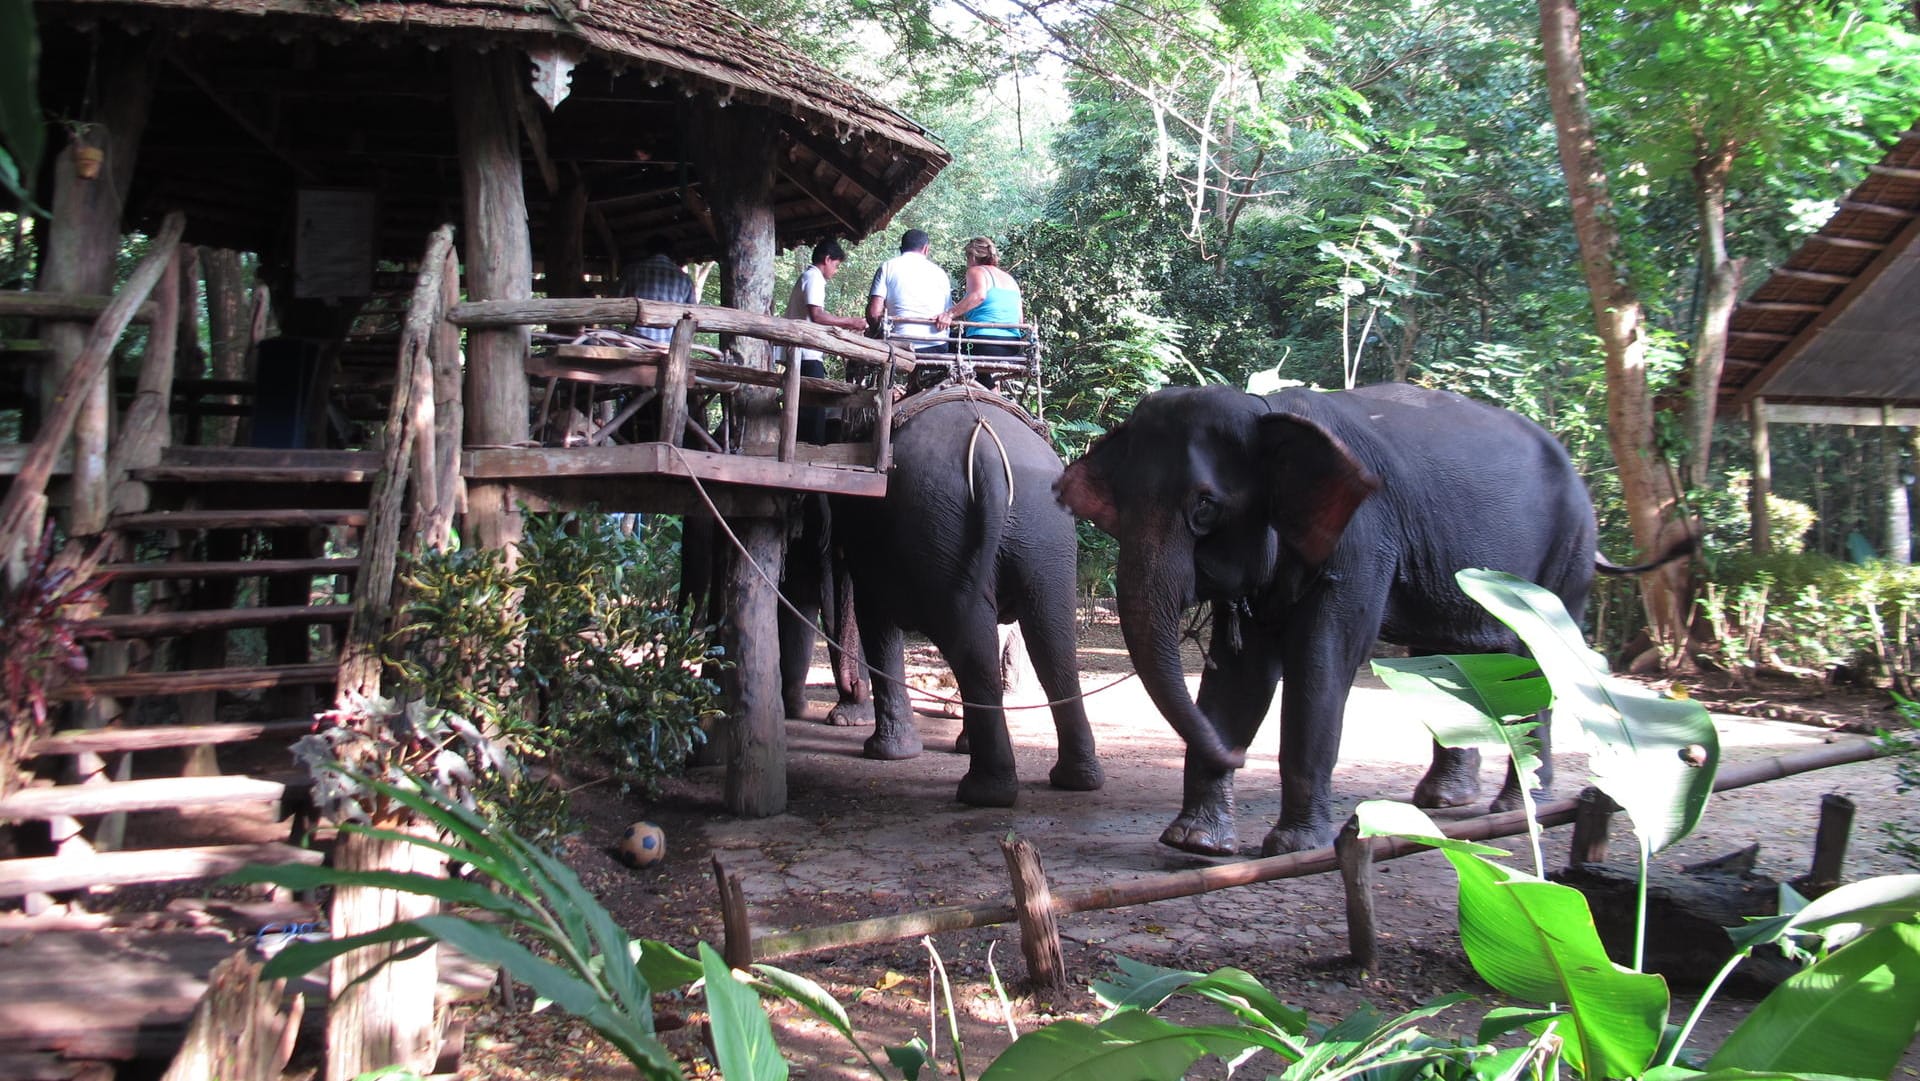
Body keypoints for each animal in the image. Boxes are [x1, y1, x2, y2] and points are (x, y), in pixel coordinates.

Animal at [783, 384, 1113, 806]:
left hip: (938, 528)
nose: (846, 705)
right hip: (1044, 532)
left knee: (970, 641)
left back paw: (984, 792)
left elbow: (874, 617)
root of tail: (988, 451)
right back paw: (1076, 779)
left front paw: (887, 752)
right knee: (1051, 639)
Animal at [1059, 384, 1689, 860]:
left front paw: (1292, 847)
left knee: (1535, 662)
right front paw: (1195, 843)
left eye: (1205, 507)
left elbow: (1323, 660)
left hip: (1565, 559)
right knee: (1454, 660)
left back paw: (1517, 806)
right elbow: (1241, 673)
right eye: (1118, 508)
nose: (1236, 755)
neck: (1267, 410)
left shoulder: (1363, 539)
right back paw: (1445, 803)